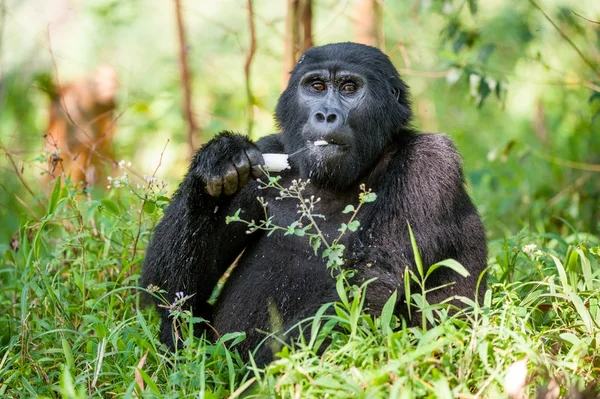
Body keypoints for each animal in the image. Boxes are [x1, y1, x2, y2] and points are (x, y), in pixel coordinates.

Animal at [142, 42, 488, 364]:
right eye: (317, 87)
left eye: (349, 89)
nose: (325, 115)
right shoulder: (267, 150)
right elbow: (171, 291)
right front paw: (219, 158)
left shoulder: (429, 162)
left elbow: (366, 285)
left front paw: (258, 380)